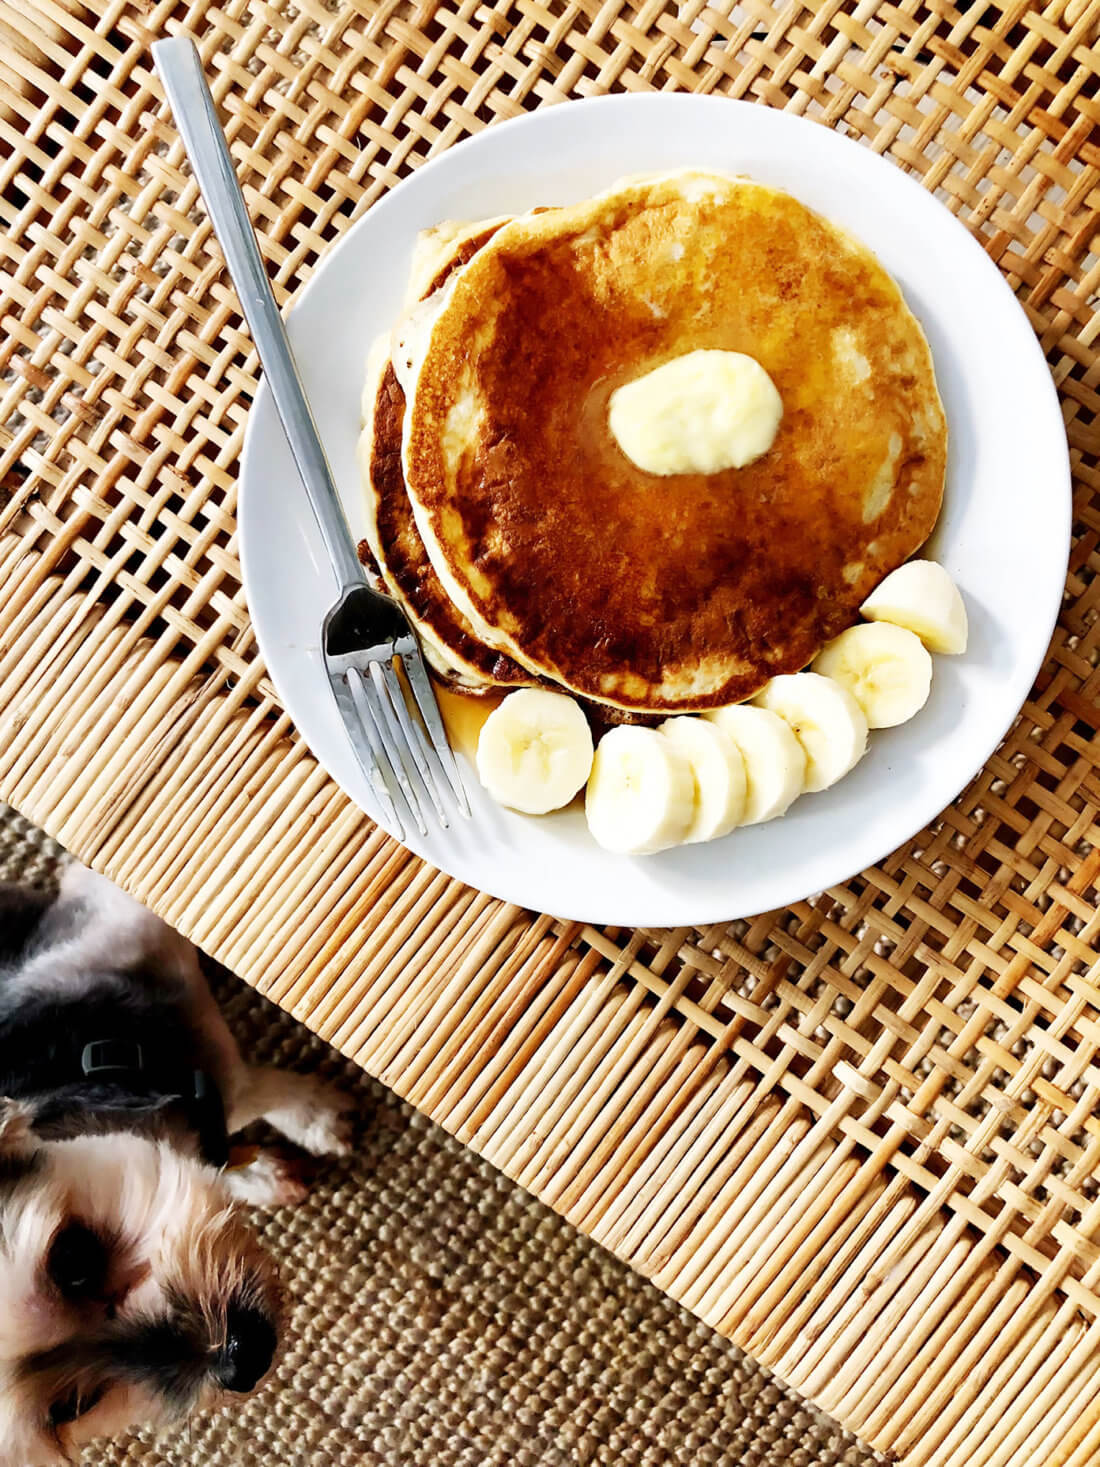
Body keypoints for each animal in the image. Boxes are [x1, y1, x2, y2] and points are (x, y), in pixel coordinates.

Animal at [0, 862, 353, 1461]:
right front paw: (286, 1148)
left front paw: (311, 1119)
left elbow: (252, 1092)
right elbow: (250, 1096)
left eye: (72, 1258)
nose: (243, 1356)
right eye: (71, 1407)